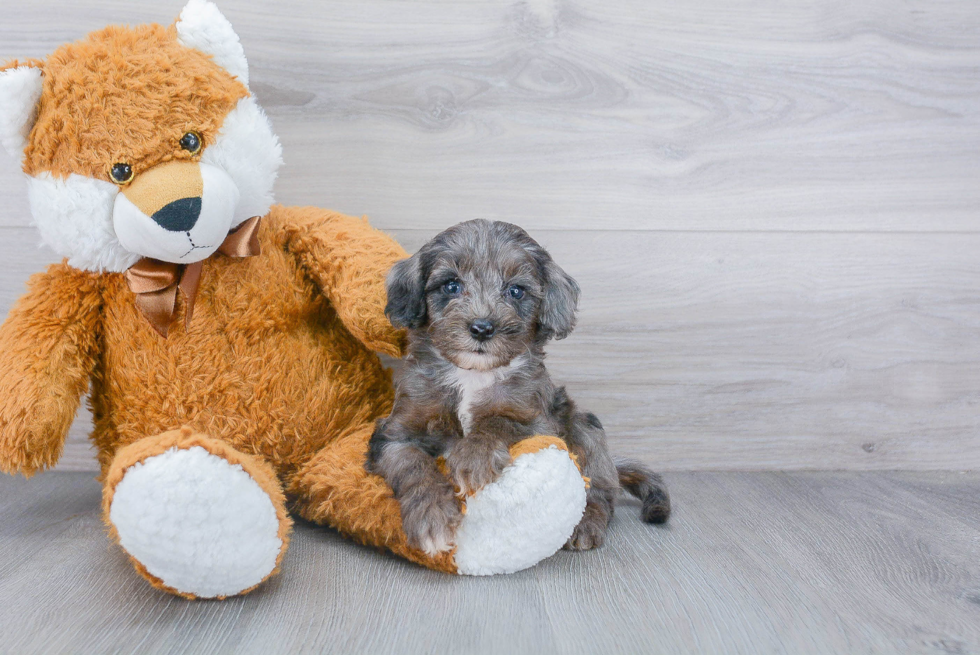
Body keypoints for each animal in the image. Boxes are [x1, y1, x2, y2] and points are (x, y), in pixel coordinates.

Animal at [364, 219, 668, 552]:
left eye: (516, 291)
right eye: (451, 285)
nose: (482, 328)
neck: (473, 374)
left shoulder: (537, 423)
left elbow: (499, 421)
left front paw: (474, 457)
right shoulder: (394, 432)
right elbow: (412, 463)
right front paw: (432, 515)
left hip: (584, 427)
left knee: (600, 491)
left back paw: (585, 524)